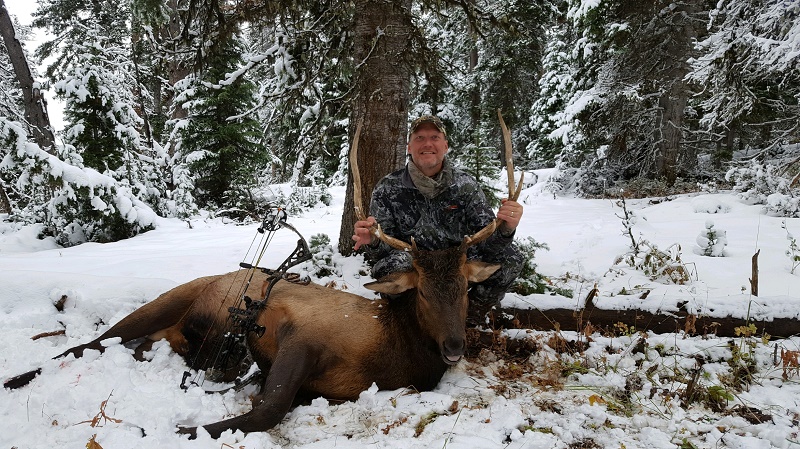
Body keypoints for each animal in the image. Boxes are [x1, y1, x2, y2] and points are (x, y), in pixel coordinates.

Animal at [3, 111, 523, 439]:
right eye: (422, 294)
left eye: (465, 289)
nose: (455, 347)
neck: (390, 355)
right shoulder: (300, 336)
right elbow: (266, 411)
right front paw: (172, 427)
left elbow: (270, 405)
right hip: (168, 299)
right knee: (85, 343)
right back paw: (16, 378)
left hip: (166, 335)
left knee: (124, 346)